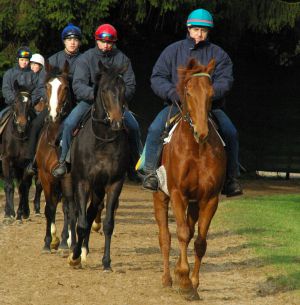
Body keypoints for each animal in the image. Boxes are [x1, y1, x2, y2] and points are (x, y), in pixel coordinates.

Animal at [0, 81, 42, 223]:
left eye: (30, 103)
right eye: (14, 102)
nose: (22, 125)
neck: (19, 136)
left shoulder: (25, 163)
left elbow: (24, 187)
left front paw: (19, 214)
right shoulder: (6, 160)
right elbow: (9, 186)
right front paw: (9, 214)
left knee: (25, 186)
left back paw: (25, 212)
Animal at [68, 60, 129, 270]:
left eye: (123, 89)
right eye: (104, 90)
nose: (117, 122)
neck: (102, 141)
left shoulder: (114, 183)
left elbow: (108, 223)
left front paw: (106, 262)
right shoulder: (82, 182)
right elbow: (81, 223)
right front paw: (74, 257)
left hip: (98, 189)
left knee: (91, 212)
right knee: (77, 214)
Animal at [154, 57, 226, 300]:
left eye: (211, 94)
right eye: (188, 92)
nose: (202, 132)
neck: (196, 149)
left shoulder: (209, 199)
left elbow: (200, 241)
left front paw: (192, 283)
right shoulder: (178, 194)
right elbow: (182, 234)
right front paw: (185, 282)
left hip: (195, 204)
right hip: (160, 197)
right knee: (165, 237)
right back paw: (167, 278)